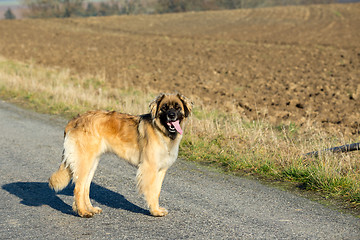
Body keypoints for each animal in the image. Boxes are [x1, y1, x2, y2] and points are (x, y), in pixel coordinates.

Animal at [50, 93, 194, 218]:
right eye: (164, 108)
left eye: (177, 108)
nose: (171, 115)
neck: (162, 132)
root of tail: (75, 120)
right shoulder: (150, 168)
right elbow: (151, 192)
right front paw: (154, 211)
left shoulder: (161, 170)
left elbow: (157, 192)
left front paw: (157, 209)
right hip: (85, 161)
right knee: (78, 188)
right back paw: (83, 212)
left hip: (92, 163)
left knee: (85, 187)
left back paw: (90, 208)